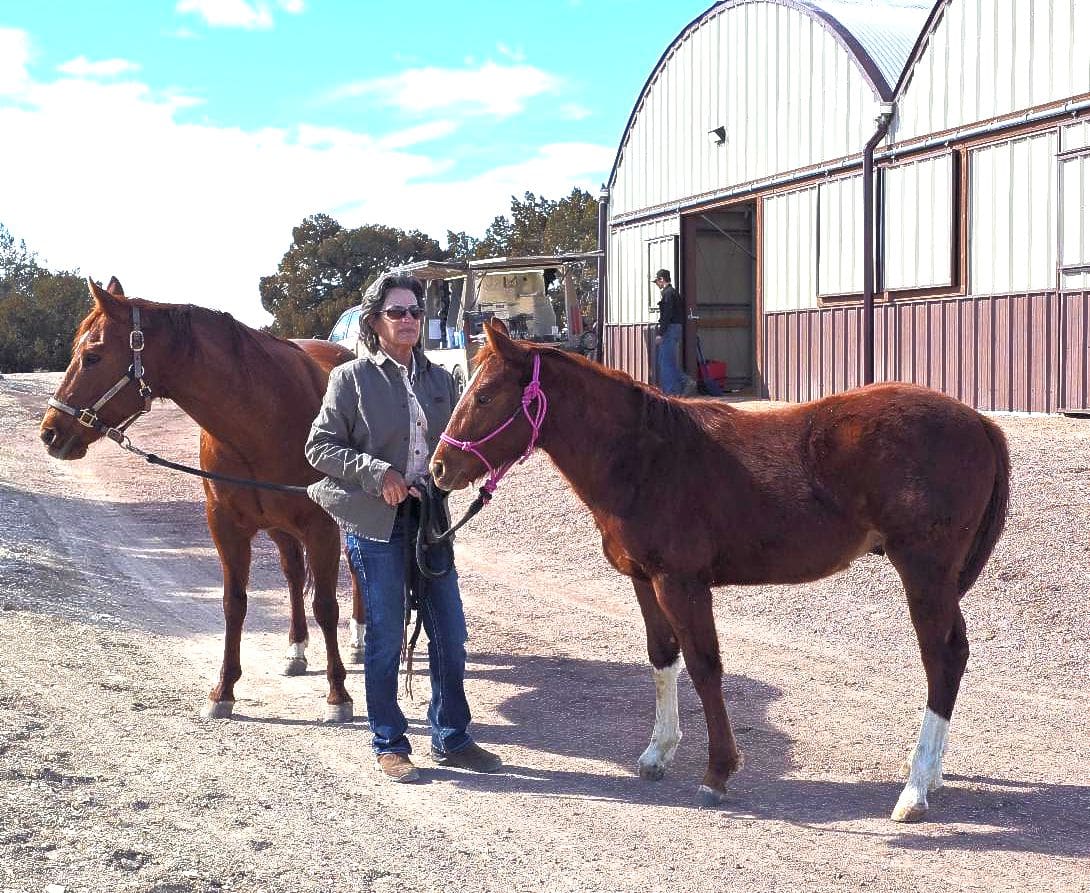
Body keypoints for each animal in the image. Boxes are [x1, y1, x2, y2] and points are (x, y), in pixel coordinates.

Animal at [39, 277, 363, 721]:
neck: (264, 418)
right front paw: (224, 690)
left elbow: (327, 607)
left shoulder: (322, 527)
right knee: (294, 574)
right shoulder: (225, 525)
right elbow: (233, 603)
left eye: (92, 356)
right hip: (279, 526)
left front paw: (338, 695)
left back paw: (360, 640)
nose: (50, 432)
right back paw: (295, 650)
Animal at [431, 320, 1010, 822]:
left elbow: (705, 667)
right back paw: (930, 775)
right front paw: (658, 753)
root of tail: (979, 422)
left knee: (942, 658)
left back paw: (914, 790)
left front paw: (717, 772)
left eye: (484, 397)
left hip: (924, 571)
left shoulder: (683, 583)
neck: (645, 459)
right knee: (953, 655)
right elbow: (663, 658)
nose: (438, 469)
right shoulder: (645, 580)